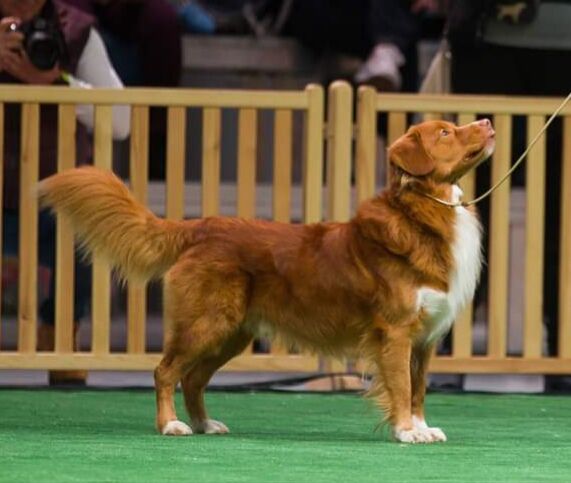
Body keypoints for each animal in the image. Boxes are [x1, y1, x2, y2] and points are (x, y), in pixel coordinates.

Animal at [39, 119, 496, 444]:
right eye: (445, 132)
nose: (489, 121)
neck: (426, 212)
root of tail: (201, 227)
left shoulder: (425, 339)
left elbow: (418, 389)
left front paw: (421, 426)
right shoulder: (396, 333)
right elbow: (401, 386)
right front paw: (405, 431)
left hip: (231, 332)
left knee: (193, 378)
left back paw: (204, 424)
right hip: (206, 323)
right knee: (165, 371)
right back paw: (171, 425)